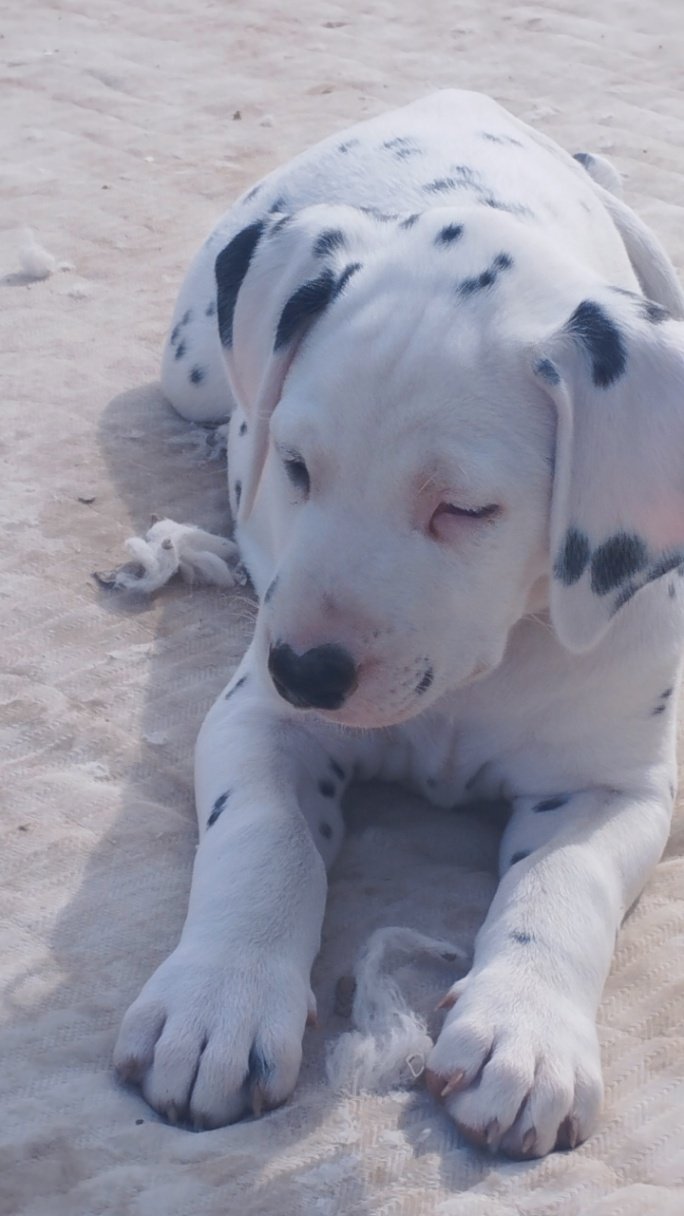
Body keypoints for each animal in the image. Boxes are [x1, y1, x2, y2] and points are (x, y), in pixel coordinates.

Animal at [113, 90, 684, 1158]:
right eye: (297, 468)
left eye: (465, 510)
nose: (303, 668)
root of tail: (451, 99)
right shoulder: (261, 724)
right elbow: (263, 840)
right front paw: (219, 1000)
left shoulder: (613, 788)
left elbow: (565, 884)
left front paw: (526, 1031)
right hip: (192, 370)